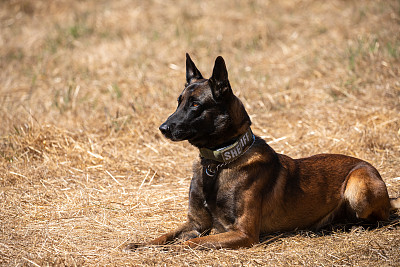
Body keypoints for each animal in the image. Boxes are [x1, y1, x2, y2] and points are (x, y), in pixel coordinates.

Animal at [124, 54, 396, 251]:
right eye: (179, 101)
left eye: (195, 105)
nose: (163, 128)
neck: (219, 164)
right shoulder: (196, 224)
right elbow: (166, 235)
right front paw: (142, 244)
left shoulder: (243, 233)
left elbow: (192, 242)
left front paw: (166, 251)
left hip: (358, 187)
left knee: (383, 217)